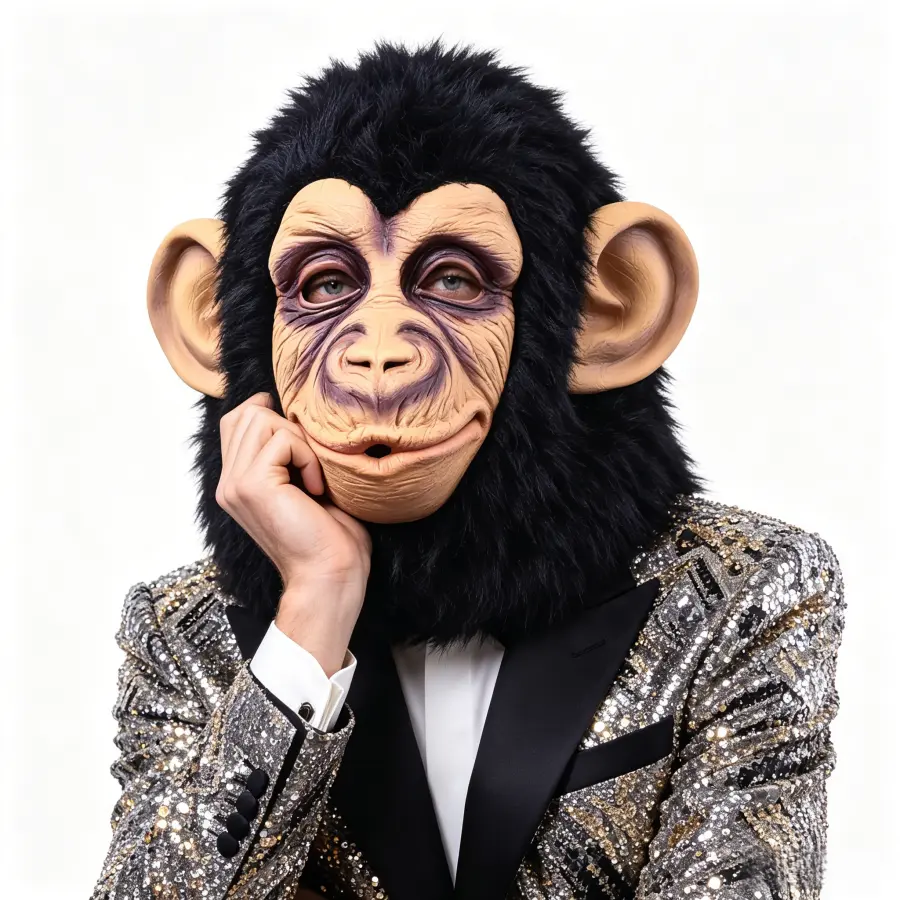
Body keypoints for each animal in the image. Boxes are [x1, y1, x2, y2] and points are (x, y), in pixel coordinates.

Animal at [93, 42, 844, 900]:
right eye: (327, 285)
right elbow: (150, 855)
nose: (377, 355)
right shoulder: (146, 655)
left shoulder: (793, 610)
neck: (447, 595)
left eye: (450, 280)